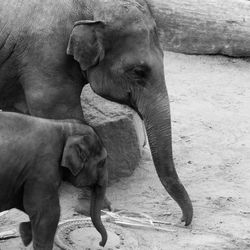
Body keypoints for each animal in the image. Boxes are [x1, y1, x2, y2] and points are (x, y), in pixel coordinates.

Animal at [0, 0, 193, 225]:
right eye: (138, 72)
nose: (182, 221)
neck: (90, 7)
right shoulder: (46, 58)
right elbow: (61, 115)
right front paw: (94, 208)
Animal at [0, 112, 108, 249]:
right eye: (102, 162)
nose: (100, 244)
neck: (62, 125)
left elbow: (27, 205)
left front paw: (24, 233)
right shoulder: (43, 169)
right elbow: (48, 214)